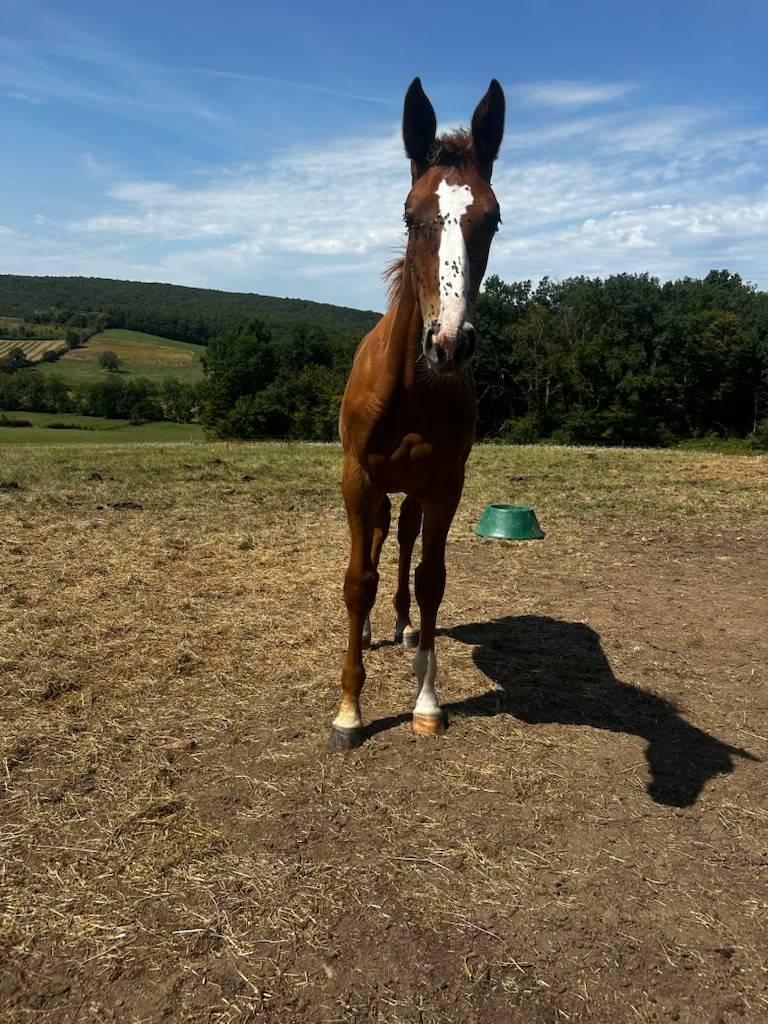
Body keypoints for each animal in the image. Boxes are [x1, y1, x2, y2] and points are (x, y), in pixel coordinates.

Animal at [330, 77, 505, 749]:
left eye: (493, 218)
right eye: (410, 214)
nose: (448, 343)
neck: (411, 386)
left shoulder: (444, 484)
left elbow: (432, 579)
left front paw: (427, 702)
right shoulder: (357, 477)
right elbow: (358, 580)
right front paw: (348, 712)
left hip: (413, 490)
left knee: (402, 543)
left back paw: (403, 629)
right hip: (378, 486)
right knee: (379, 544)